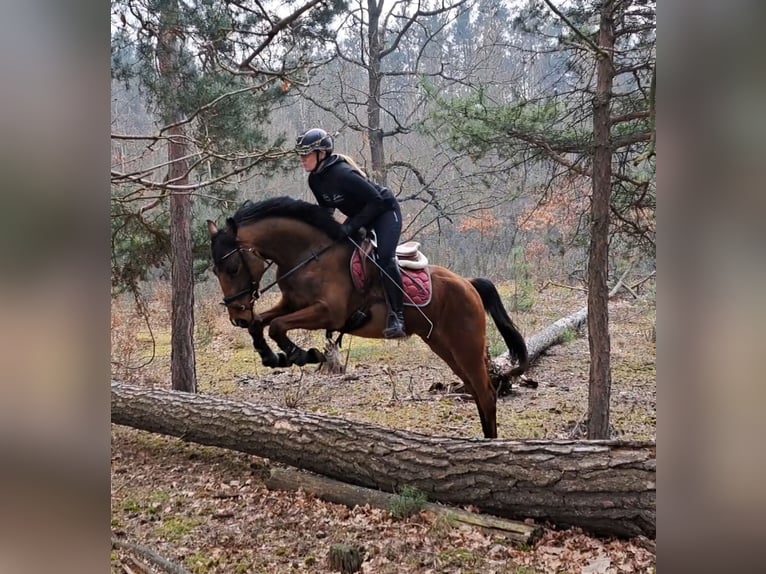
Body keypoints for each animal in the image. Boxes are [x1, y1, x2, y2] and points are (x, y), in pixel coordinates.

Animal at [207, 196, 532, 438]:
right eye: (215, 270)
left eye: (233, 267)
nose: (237, 316)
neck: (309, 255)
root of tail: (469, 284)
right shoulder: (291, 303)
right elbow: (262, 323)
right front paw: (271, 356)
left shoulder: (328, 313)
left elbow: (276, 326)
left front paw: (302, 354)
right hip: (444, 346)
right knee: (477, 391)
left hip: (466, 345)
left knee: (486, 393)